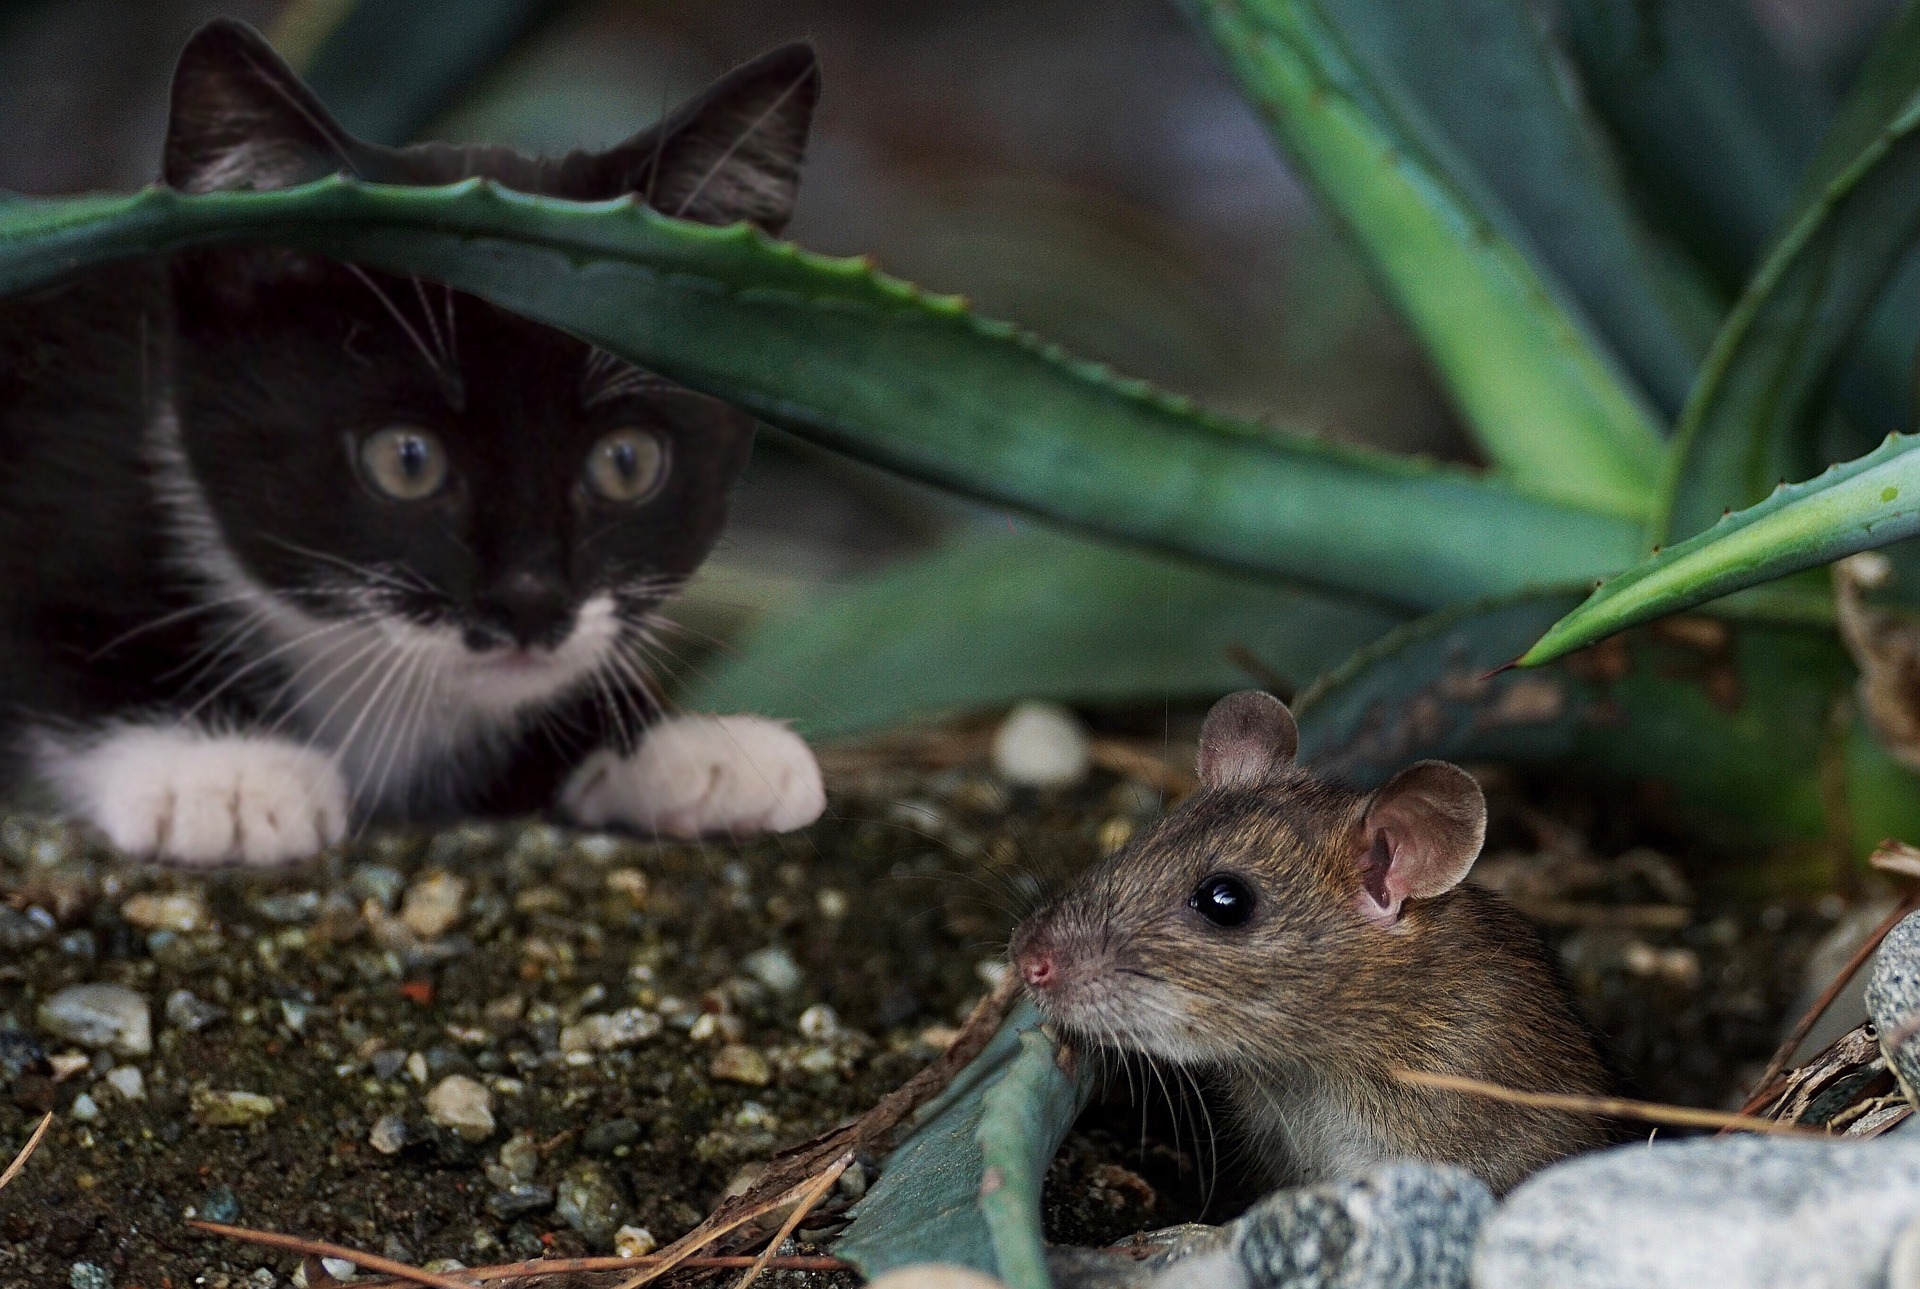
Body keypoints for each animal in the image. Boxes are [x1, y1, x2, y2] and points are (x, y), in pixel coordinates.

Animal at [0, 17, 825, 868]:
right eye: (407, 460)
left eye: (626, 462)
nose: (530, 601)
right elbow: (62, 631)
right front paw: (219, 771)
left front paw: (684, 747)